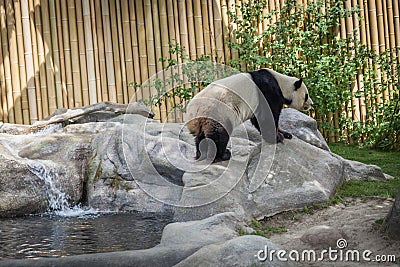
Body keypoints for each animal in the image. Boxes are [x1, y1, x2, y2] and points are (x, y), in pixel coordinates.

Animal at [184, 68, 312, 162]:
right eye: (306, 95)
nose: (311, 103)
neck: (281, 83)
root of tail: (192, 111)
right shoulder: (268, 91)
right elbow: (267, 117)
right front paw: (277, 137)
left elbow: (258, 120)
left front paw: (285, 134)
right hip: (217, 111)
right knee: (219, 134)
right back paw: (222, 155)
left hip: (203, 119)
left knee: (200, 136)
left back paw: (201, 153)